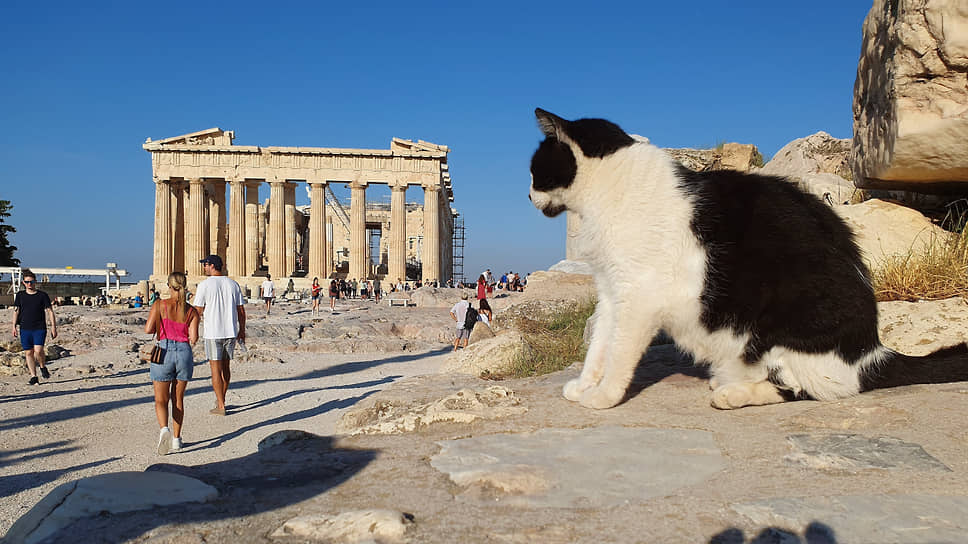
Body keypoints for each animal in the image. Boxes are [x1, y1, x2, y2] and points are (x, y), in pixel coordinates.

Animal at [528, 108, 968, 410]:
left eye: (536, 171)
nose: (528, 196)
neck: (612, 192)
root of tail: (873, 352)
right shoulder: (611, 290)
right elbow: (600, 343)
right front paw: (585, 385)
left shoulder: (639, 297)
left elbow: (618, 351)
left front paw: (603, 397)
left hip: (782, 332)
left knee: (808, 389)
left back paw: (733, 393)